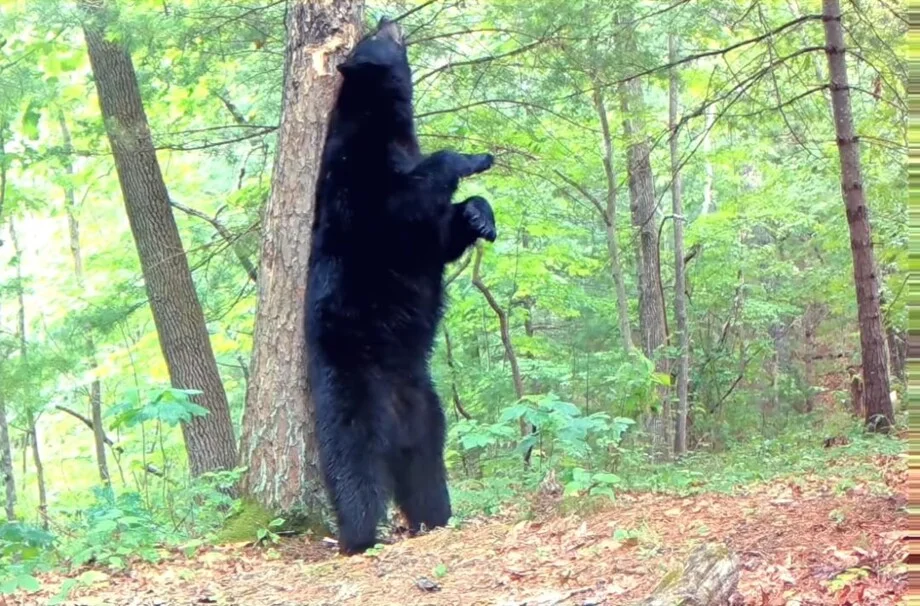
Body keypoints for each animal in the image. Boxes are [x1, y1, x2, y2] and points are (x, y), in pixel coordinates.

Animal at [306, 17, 497, 555]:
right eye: (378, 38)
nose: (388, 18)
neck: (383, 124)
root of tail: (395, 418)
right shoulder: (357, 185)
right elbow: (402, 204)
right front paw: (473, 157)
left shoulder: (418, 232)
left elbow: (438, 237)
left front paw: (481, 215)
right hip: (348, 400)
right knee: (354, 473)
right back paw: (358, 537)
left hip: (429, 414)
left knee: (427, 471)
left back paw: (436, 517)